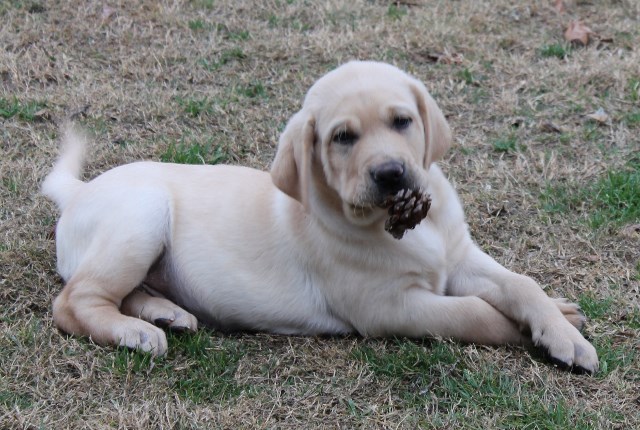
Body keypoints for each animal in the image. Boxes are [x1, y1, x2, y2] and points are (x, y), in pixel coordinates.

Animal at [42, 60, 596, 372]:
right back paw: (136, 332)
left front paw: (562, 328)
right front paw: (536, 333)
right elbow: (474, 313)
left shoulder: (459, 257)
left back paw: (165, 312)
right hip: (142, 215)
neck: (406, 227)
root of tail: (79, 190)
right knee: (73, 302)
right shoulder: (387, 307)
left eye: (403, 121)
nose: (391, 174)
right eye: (342, 137)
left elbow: (521, 283)